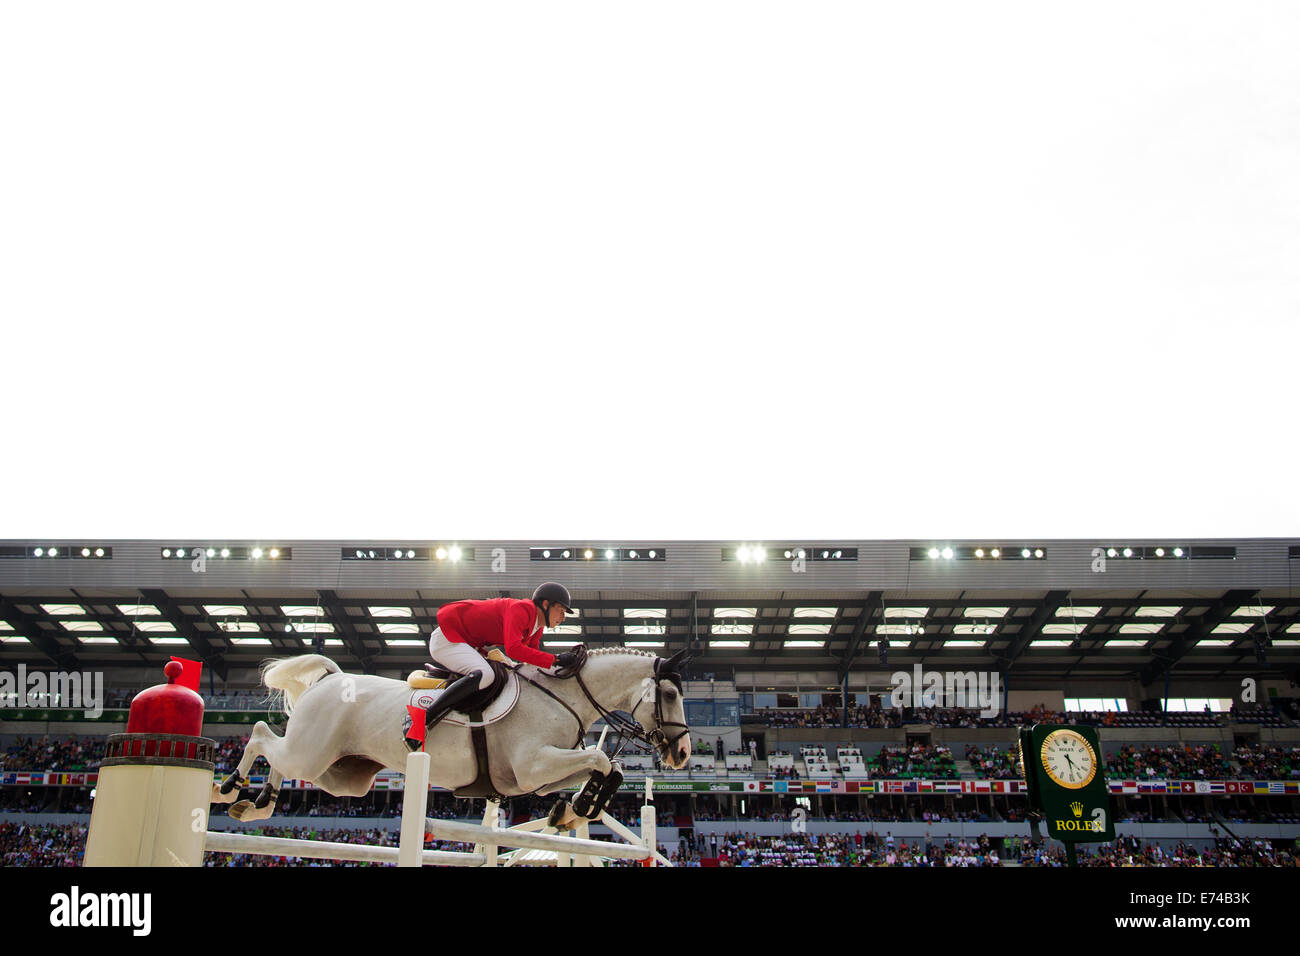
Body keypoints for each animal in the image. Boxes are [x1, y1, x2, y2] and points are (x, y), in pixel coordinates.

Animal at [210, 647, 691, 816]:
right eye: (668, 694)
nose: (683, 754)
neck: (563, 694)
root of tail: (331, 678)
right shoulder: (533, 765)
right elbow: (598, 757)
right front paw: (584, 805)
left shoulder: (533, 780)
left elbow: (605, 768)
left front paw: (579, 805)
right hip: (311, 754)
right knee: (261, 735)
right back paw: (229, 787)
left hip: (340, 776)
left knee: (280, 758)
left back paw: (260, 803)